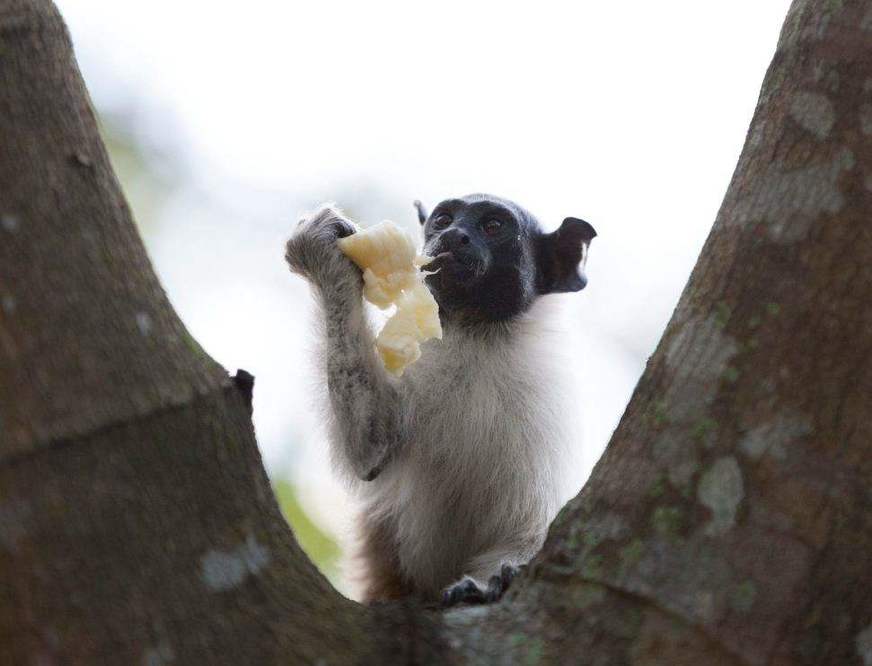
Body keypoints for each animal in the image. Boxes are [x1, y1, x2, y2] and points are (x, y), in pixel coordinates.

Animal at [282, 193, 596, 608]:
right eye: (443, 220)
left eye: (493, 226)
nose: (454, 235)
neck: (477, 335)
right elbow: (371, 448)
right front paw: (323, 252)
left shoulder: (547, 407)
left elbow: (529, 532)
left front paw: (493, 580)